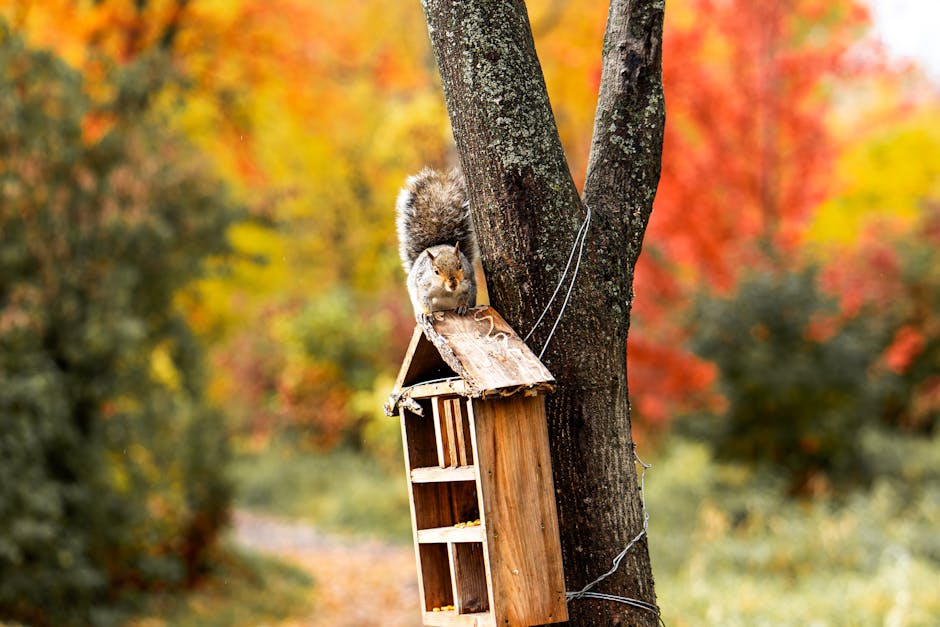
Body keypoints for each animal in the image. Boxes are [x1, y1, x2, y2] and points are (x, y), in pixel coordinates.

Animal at [395, 167, 478, 320]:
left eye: (460, 266)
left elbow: (465, 295)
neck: (445, 290)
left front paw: (463, 306)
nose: (453, 283)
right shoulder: (423, 285)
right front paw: (426, 314)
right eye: (436, 271)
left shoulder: (467, 282)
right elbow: (423, 299)